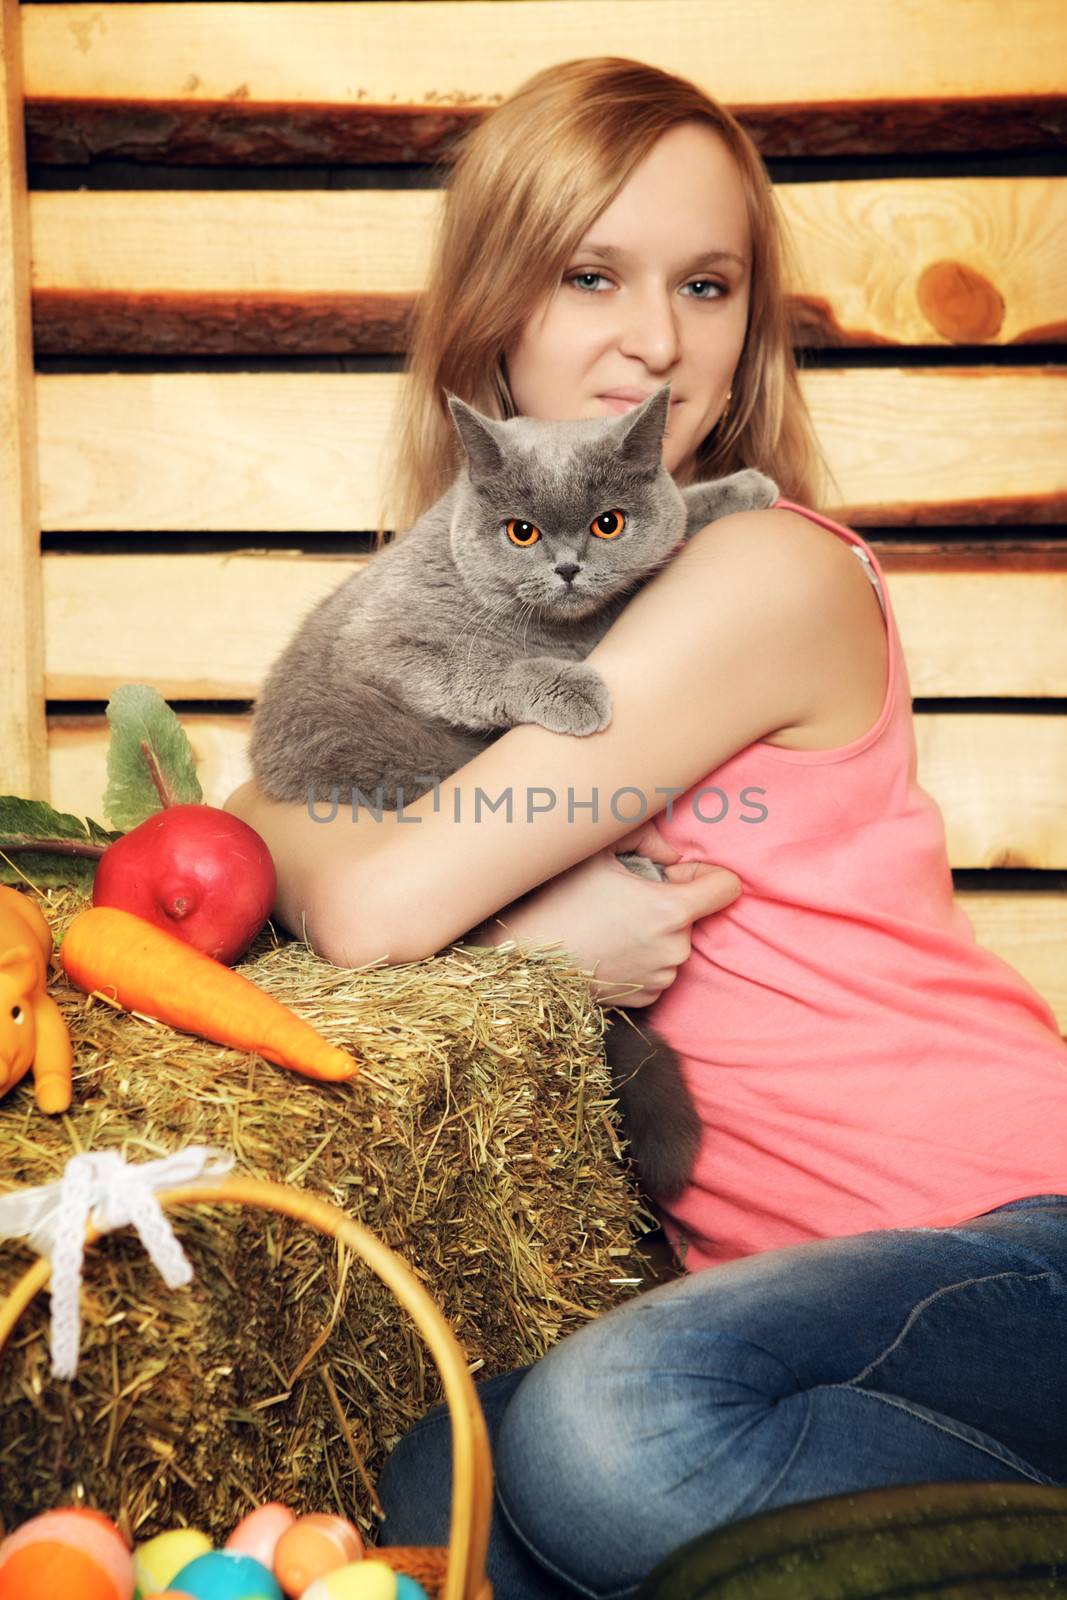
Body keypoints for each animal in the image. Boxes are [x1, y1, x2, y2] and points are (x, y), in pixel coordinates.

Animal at [251, 380, 777, 1196]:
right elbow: (487, 663)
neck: (571, 630)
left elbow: (676, 522)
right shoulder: (395, 644)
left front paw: (740, 489)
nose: (566, 568)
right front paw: (571, 689)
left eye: (607, 522)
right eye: (521, 533)